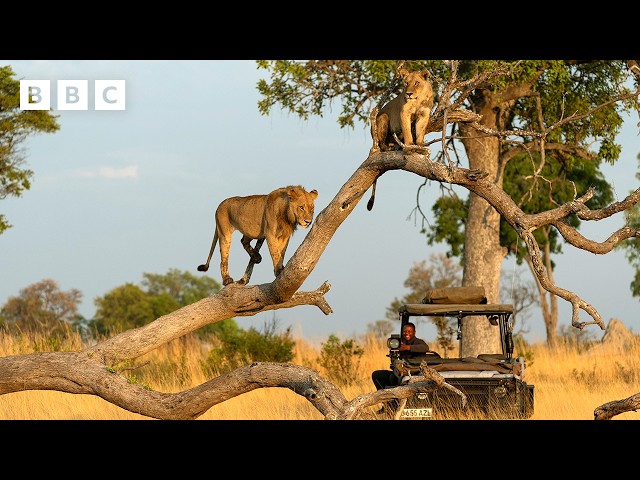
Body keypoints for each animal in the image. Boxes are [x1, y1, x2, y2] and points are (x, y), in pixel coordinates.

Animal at [364, 65, 436, 210]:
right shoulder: (404, 113)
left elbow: (420, 132)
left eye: (416, 83)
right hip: (383, 117)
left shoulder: (424, 114)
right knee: (381, 144)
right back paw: (389, 147)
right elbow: (408, 131)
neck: (418, 99)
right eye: (406, 83)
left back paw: (396, 145)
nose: (408, 94)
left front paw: (420, 146)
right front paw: (409, 147)